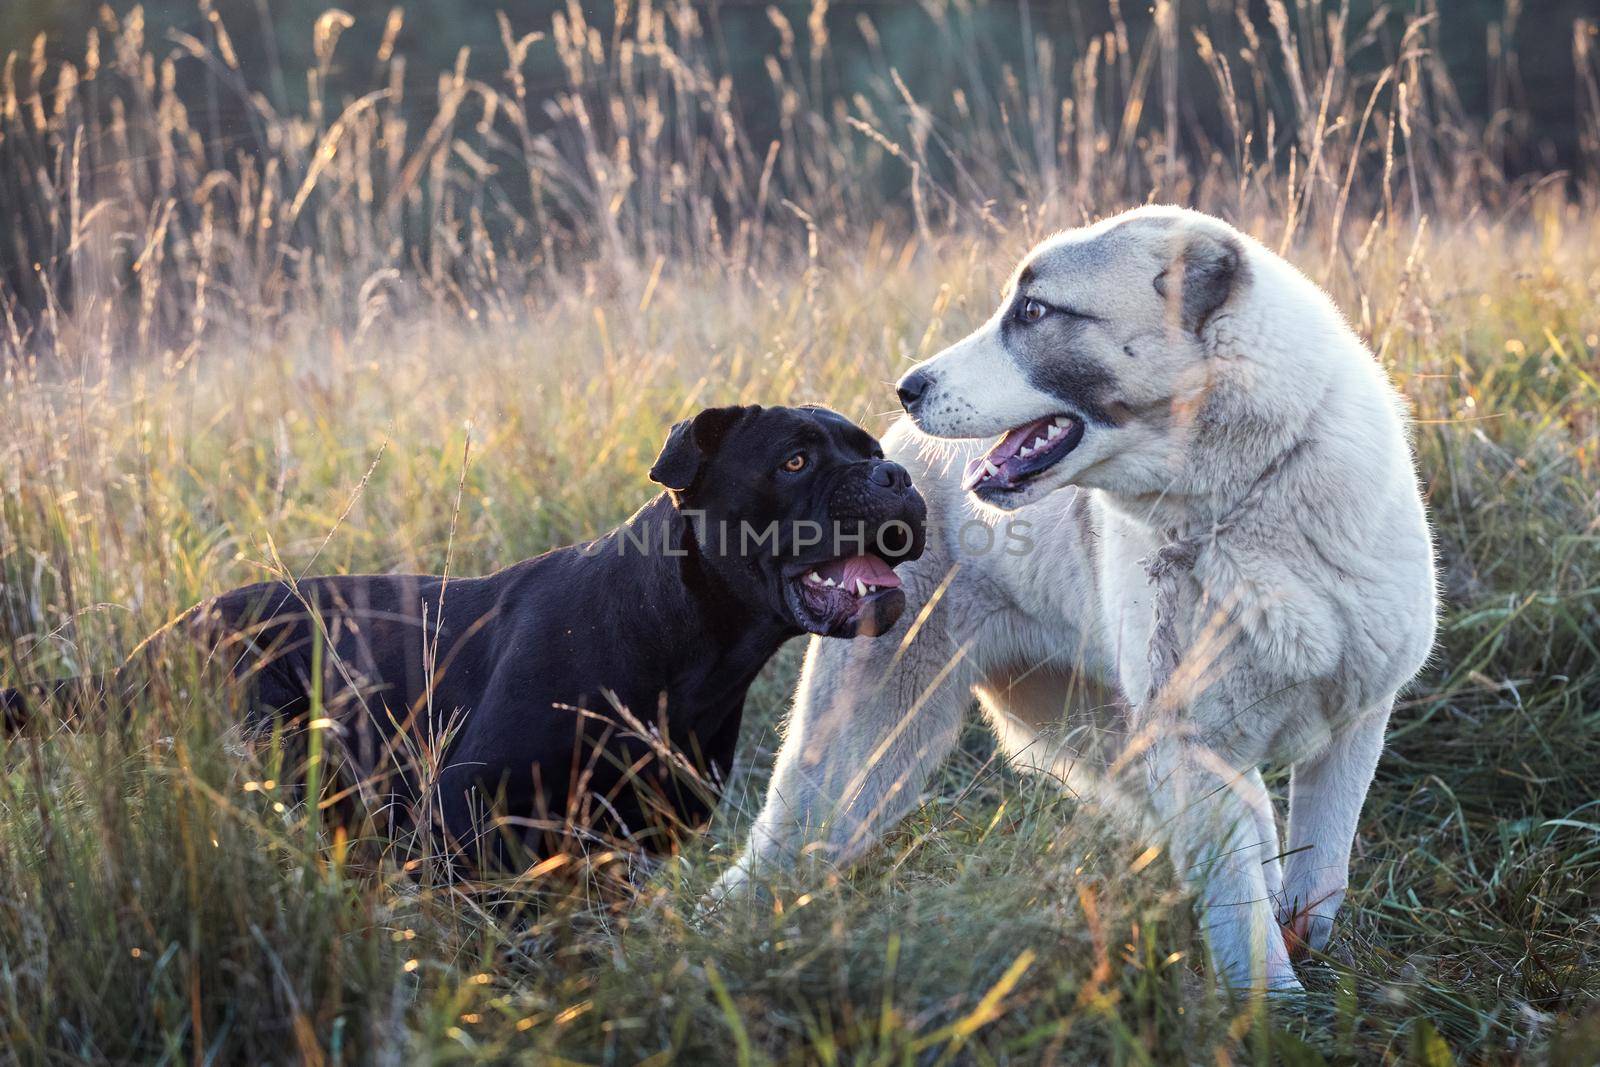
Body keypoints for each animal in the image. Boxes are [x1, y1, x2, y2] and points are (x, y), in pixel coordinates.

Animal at [3, 406, 928, 870]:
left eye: (874, 447)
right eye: (796, 462)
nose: (897, 475)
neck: (690, 648)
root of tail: (143, 654)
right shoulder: (464, 814)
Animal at [713, 206, 1440, 991]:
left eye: (1034, 312)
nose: (907, 386)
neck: (1248, 498)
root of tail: (887, 454)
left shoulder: (1352, 724)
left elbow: (1321, 866)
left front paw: (1309, 958)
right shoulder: (1191, 749)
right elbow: (1243, 919)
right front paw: (1277, 1008)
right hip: (862, 757)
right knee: (768, 862)